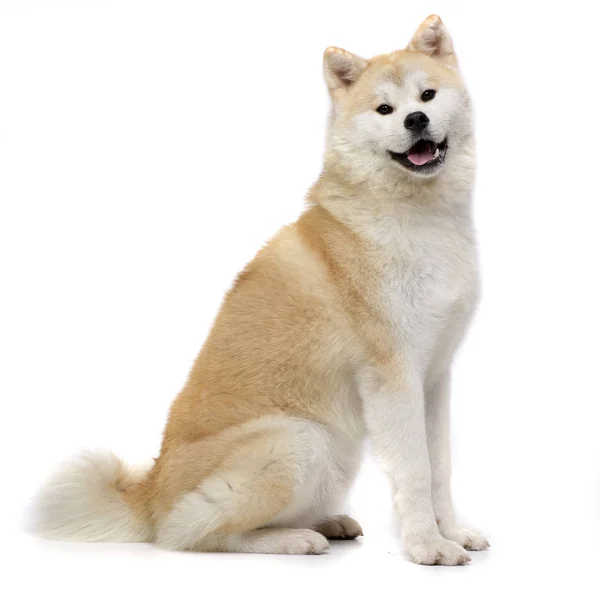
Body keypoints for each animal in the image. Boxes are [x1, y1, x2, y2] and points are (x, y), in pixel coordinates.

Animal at [34, 15, 488, 568]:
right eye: (385, 109)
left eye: (427, 94)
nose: (417, 120)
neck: (419, 220)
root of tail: (150, 492)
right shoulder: (394, 378)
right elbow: (416, 472)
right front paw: (427, 546)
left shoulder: (434, 376)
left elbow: (439, 468)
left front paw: (454, 532)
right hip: (300, 438)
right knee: (189, 532)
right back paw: (294, 539)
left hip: (331, 452)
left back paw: (325, 522)